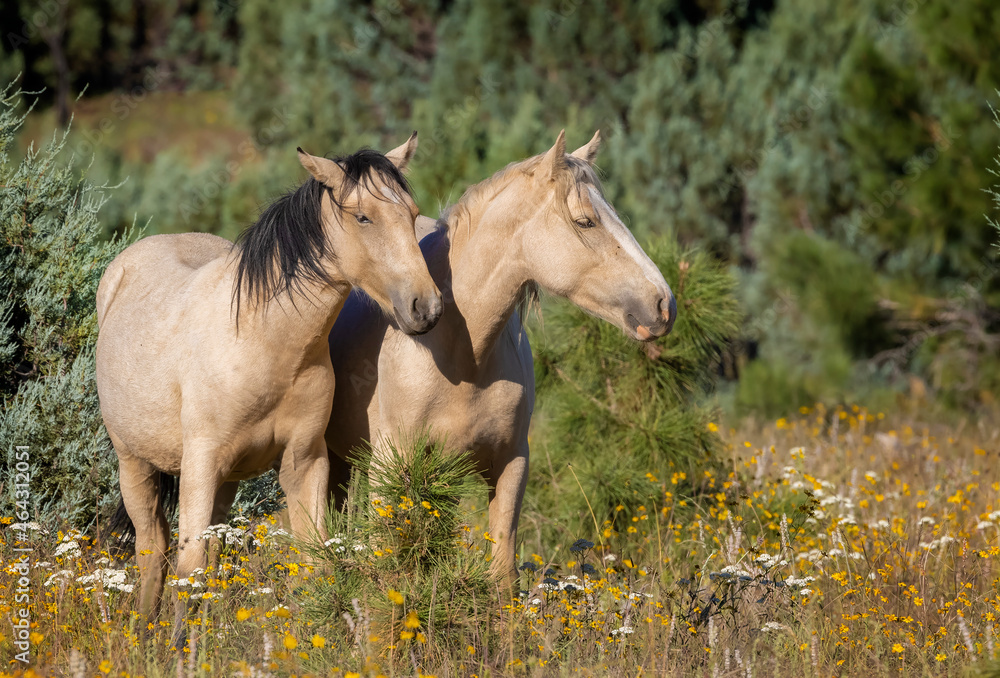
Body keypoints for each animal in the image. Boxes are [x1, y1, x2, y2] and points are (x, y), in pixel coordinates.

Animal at [94, 134, 442, 625]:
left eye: (412, 214)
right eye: (363, 217)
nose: (425, 308)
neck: (264, 342)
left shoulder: (304, 461)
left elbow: (314, 558)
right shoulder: (200, 464)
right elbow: (188, 566)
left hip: (225, 481)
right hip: (135, 464)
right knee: (153, 551)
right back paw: (144, 630)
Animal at [322, 130, 677, 580]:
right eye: (585, 221)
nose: (664, 305)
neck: (460, 359)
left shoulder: (511, 464)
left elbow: (503, 572)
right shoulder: (390, 465)